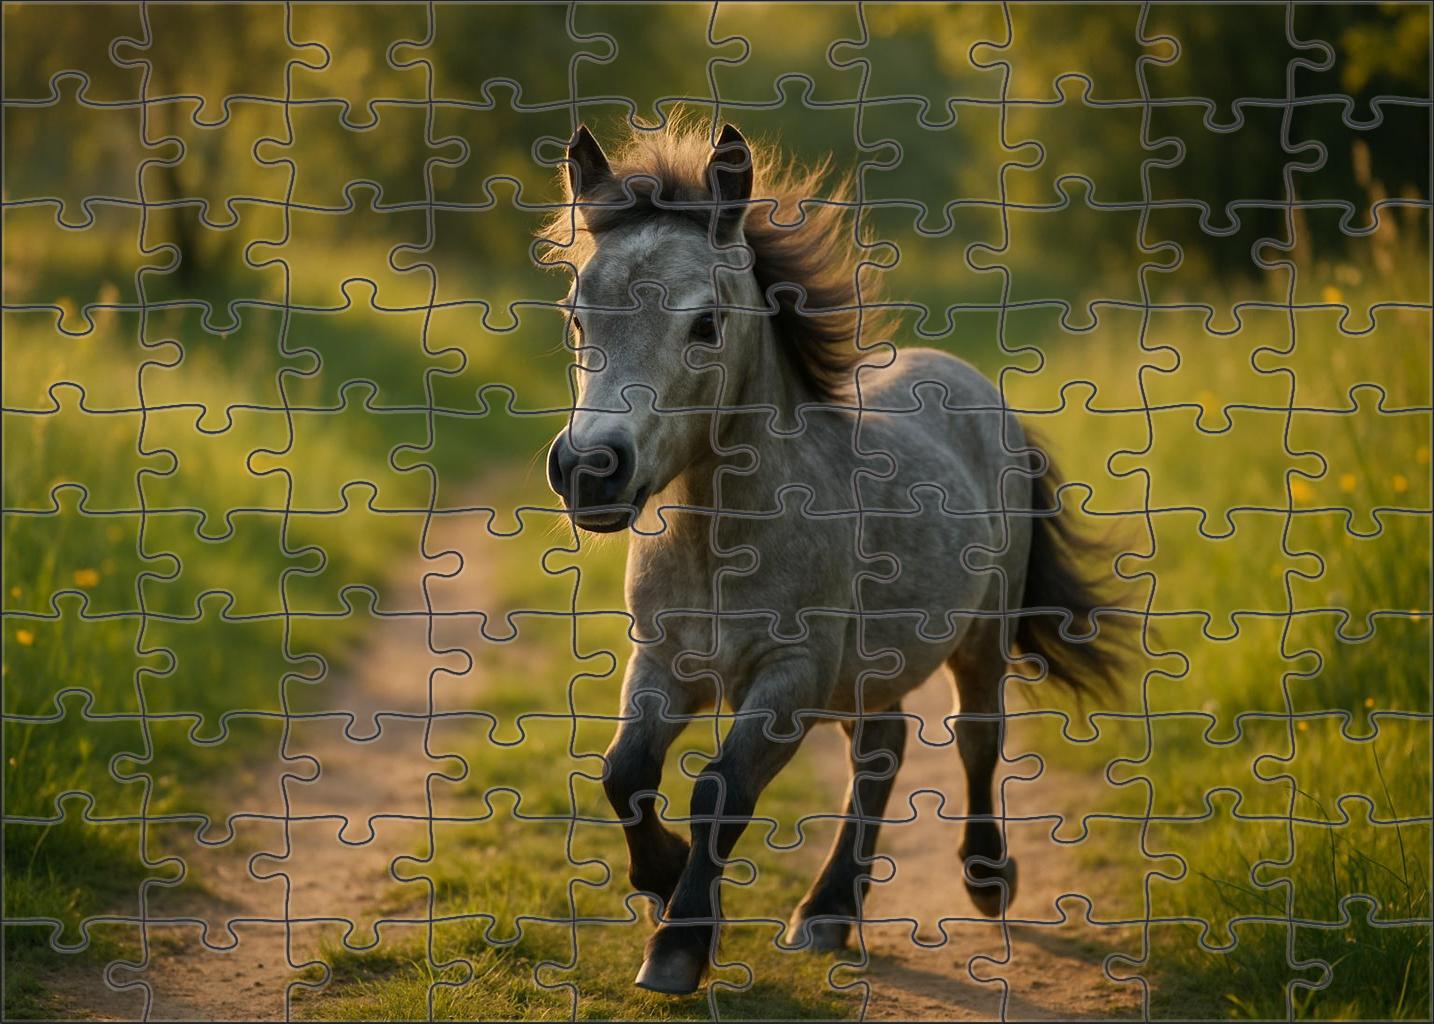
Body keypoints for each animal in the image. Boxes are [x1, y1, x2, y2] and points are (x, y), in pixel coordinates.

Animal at [538, 119, 1126, 995]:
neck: (722, 547)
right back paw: (827, 911)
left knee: (975, 740)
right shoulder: (665, 664)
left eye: (705, 324)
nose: (589, 470)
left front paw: (679, 943)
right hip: (871, 670)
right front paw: (662, 880)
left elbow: (720, 789)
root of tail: (976, 390)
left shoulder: (791, 679)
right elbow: (624, 772)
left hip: (978, 640)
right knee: (882, 752)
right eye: (577, 317)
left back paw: (986, 881)